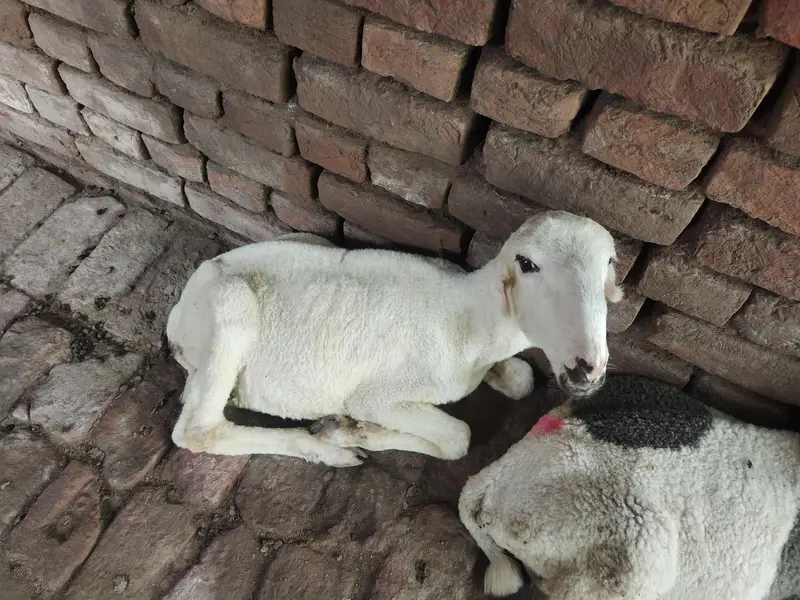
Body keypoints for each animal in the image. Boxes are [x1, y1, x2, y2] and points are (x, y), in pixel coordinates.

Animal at [166, 210, 623, 467]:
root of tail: (178, 313)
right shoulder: (378, 397)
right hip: (231, 308)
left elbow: (523, 380)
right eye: (527, 264)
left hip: (307, 238)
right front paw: (351, 431)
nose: (587, 369)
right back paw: (330, 452)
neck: (470, 318)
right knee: (199, 430)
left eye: (610, 263)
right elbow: (457, 438)